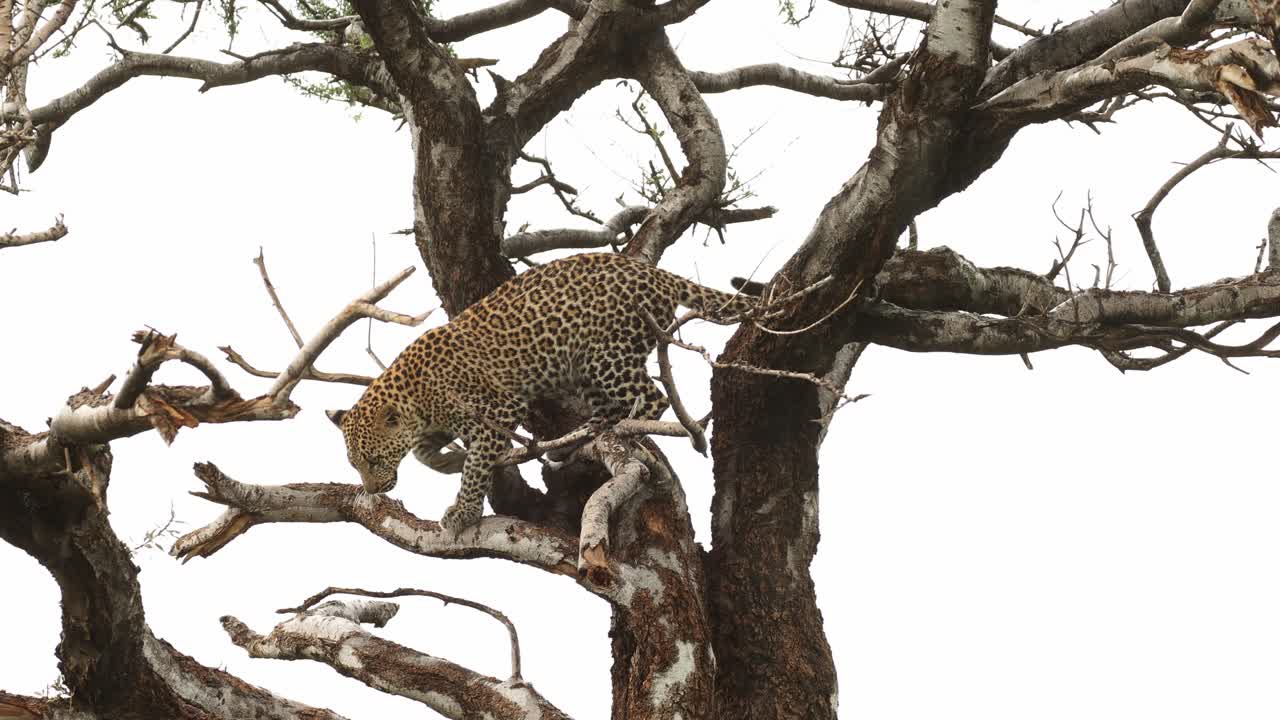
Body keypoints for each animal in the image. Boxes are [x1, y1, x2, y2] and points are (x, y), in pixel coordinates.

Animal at [327, 252, 757, 532]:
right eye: (354, 463)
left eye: (372, 460)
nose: (372, 489)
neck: (415, 395)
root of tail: (657, 275)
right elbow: (422, 452)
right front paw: (448, 462)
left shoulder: (499, 408)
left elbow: (478, 465)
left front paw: (464, 510)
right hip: (583, 369)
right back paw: (579, 438)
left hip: (606, 355)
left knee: (654, 396)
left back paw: (620, 431)